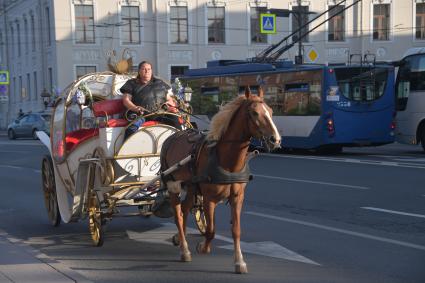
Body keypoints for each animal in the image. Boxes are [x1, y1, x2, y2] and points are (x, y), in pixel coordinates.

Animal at [161, 87, 280, 276]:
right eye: (254, 113)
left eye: (270, 111)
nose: (275, 139)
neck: (226, 160)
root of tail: (172, 137)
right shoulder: (209, 199)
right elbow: (211, 230)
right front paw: (203, 247)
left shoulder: (237, 197)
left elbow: (236, 230)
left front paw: (239, 262)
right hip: (173, 185)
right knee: (178, 215)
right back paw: (184, 250)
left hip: (192, 187)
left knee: (185, 210)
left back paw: (180, 239)